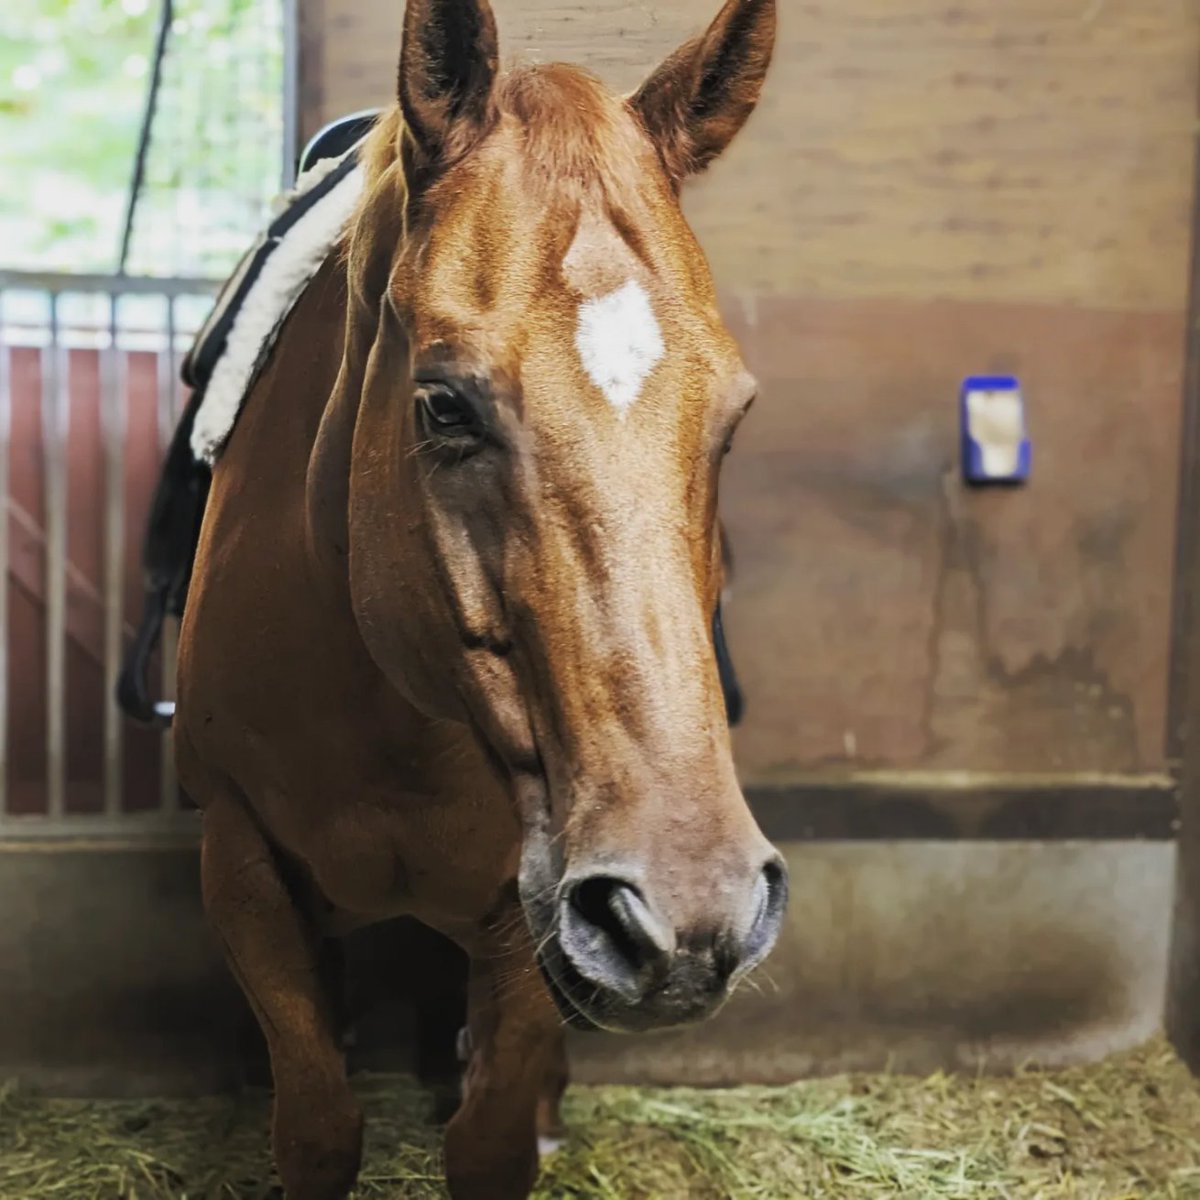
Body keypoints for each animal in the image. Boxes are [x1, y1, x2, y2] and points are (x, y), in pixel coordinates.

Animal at [167, 0, 785, 1195]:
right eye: (443, 405)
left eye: (732, 421)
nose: (689, 910)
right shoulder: (243, 867)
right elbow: (318, 1125)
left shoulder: (526, 917)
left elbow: (492, 1134)